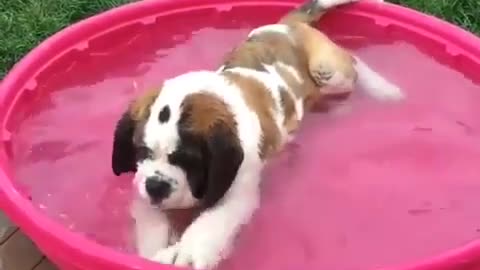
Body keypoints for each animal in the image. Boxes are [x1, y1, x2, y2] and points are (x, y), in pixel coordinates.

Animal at [110, 0, 404, 268]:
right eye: (142, 152)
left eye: (188, 160)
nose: (156, 187)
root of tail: (286, 26)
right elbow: (151, 219)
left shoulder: (239, 186)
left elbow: (212, 220)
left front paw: (188, 253)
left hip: (330, 71)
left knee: (351, 63)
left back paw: (383, 90)